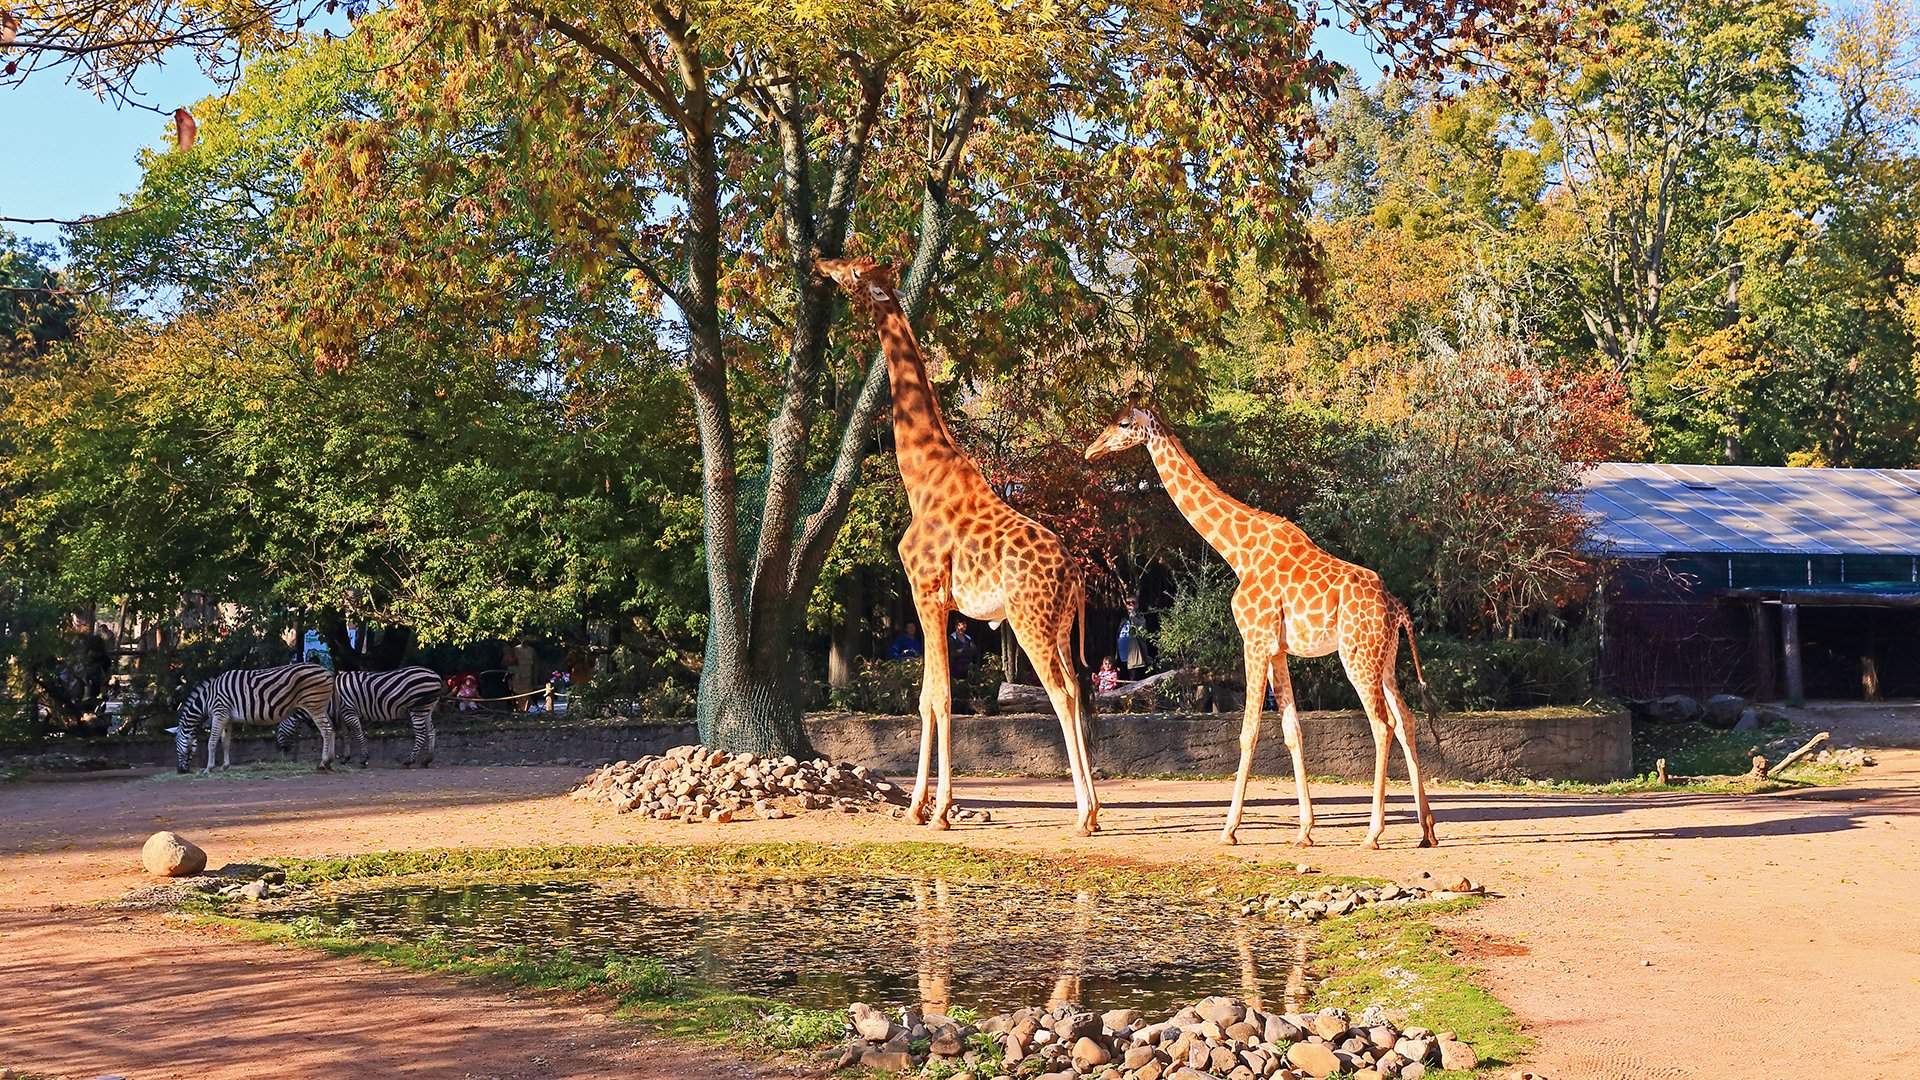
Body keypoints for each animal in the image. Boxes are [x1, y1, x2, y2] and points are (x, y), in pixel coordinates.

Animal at [176, 661, 334, 768]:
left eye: (176, 743)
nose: (180, 770)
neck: (208, 697)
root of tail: (327, 671)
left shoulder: (220, 713)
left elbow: (212, 742)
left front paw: (209, 768)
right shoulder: (228, 718)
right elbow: (226, 743)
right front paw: (225, 766)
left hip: (314, 705)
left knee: (326, 730)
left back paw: (323, 762)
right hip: (321, 706)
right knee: (331, 728)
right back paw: (329, 761)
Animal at [274, 664, 445, 764]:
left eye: (279, 728)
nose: (280, 749)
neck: (331, 698)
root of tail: (435, 674)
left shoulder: (350, 712)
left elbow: (358, 734)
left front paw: (363, 759)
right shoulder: (343, 717)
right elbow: (346, 736)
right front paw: (345, 758)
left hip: (418, 708)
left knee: (421, 734)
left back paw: (410, 760)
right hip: (428, 708)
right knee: (432, 731)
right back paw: (428, 759)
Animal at [817, 251, 1105, 834]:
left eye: (854, 271)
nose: (820, 263)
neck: (920, 475)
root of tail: (1074, 574)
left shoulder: (926, 591)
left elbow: (941, 696)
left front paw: (940, 811)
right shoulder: (937, 603)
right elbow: (926, 696)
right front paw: (916, 807)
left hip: (1028, 622)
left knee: (1062, 694)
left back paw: (1083, 815)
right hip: (1060, 628)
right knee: (1080, 691)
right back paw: (1095, 812)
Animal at [1090, 395, 1436, 849]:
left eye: (1124, 423)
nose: (1091, 450)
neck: (1237, 550)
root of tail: (1397, 609)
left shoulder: (1253, 639)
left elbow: (1249, 730)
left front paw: (1229, 829)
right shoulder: (1278, 649)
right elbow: (1292, 731)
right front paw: (1305, 830)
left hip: (1356, 656)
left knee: (1383, 723)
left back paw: (1373, 833)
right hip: (1386, 659)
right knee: (1407, 720)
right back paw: (1427, 830)